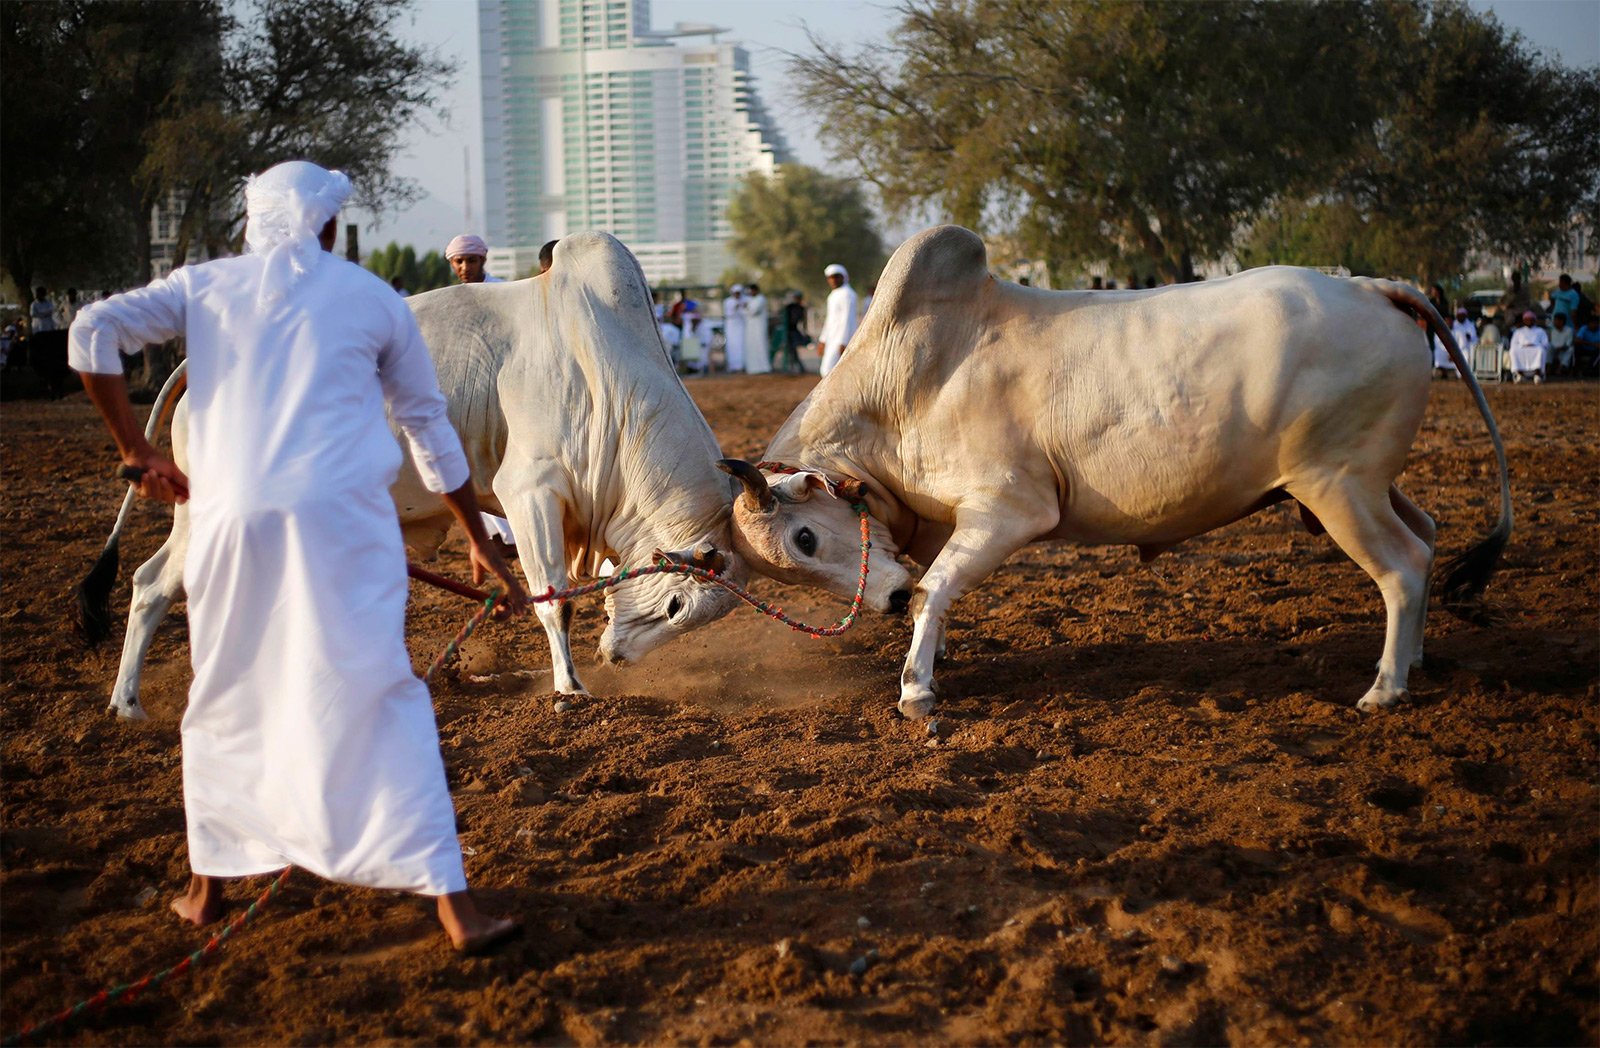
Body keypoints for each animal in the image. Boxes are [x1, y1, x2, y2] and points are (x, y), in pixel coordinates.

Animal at [96, 232, 745, 716]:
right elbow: (553, 601)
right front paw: (569, 689)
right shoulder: (529, 493)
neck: (610, 377)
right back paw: (129, 704)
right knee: (153, 583)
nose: (618, 657)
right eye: (676, 607)